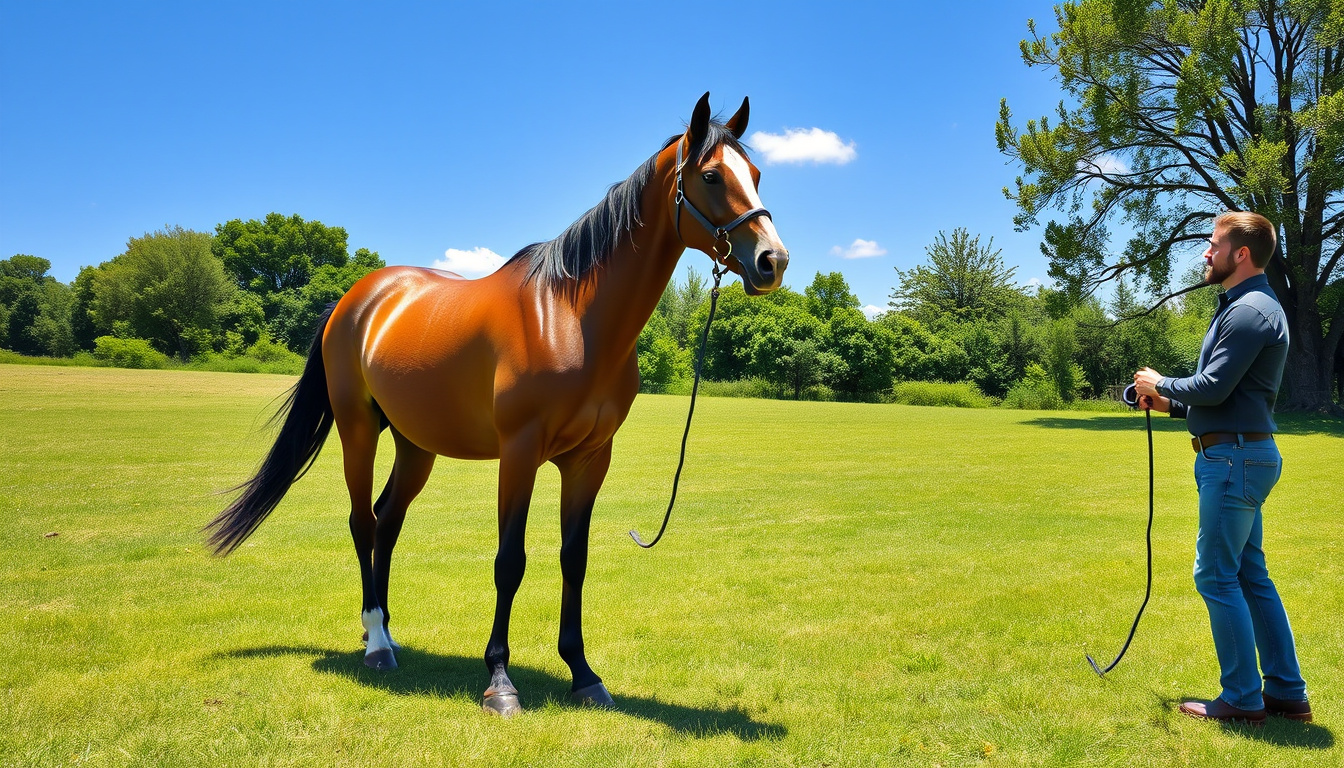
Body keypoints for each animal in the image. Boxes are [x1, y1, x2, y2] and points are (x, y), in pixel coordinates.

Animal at [205, 92, 789, 716]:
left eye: (756, 174)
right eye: (711, 176)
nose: (772, 261)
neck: (572, 317)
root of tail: (352, 300)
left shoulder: (590, 460)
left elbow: (574, 560)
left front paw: (583, 674)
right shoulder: (520, 453)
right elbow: (510, 562)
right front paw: (500, 682)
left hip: (416, 445)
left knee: (387, 521)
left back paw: (382, 630)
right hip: (357, 430)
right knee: (363, 522)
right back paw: (377, 646)